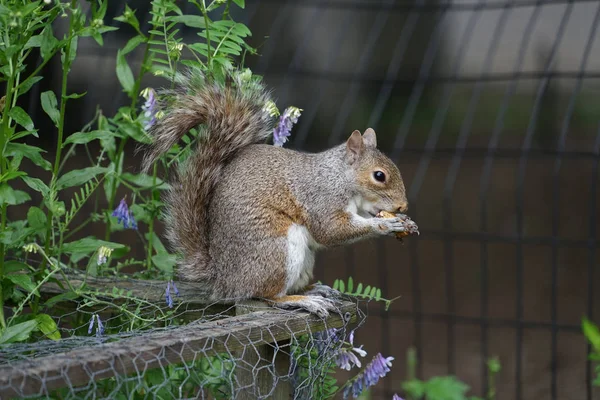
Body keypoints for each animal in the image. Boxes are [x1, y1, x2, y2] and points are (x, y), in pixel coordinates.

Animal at [142, 69, 412, 318]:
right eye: (379, 176)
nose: (403, 206)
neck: (339, 176)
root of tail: (223, 278)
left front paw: (401, 221)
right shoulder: (321, 198)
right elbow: (331, 230)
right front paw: (385, 225)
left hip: (303, 259)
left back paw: (314, 290)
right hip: (277, 250)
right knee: (267, 295)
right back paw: (303, 301)